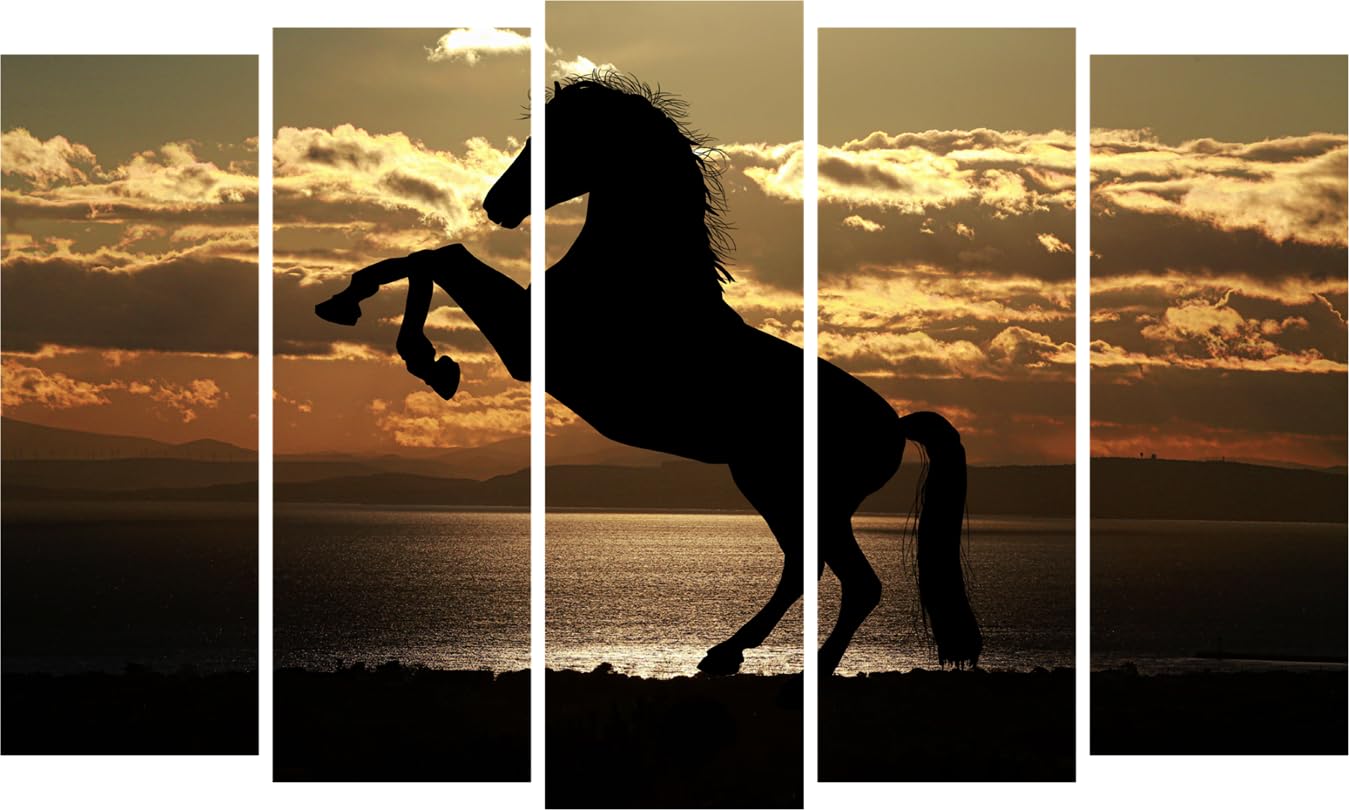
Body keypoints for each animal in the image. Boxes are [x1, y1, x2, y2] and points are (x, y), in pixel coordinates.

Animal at [315, 72, 981, 675]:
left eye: (557, 138)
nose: (495, 206)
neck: (637, 277)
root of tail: (895, 425)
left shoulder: (528, 346)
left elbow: (440, 258)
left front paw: (422, 356)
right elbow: (429, 257)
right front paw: (360, 313)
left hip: (788, 489)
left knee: (844, 577)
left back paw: (763, 661)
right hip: (788, 492)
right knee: (814, 569)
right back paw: (733, 655)